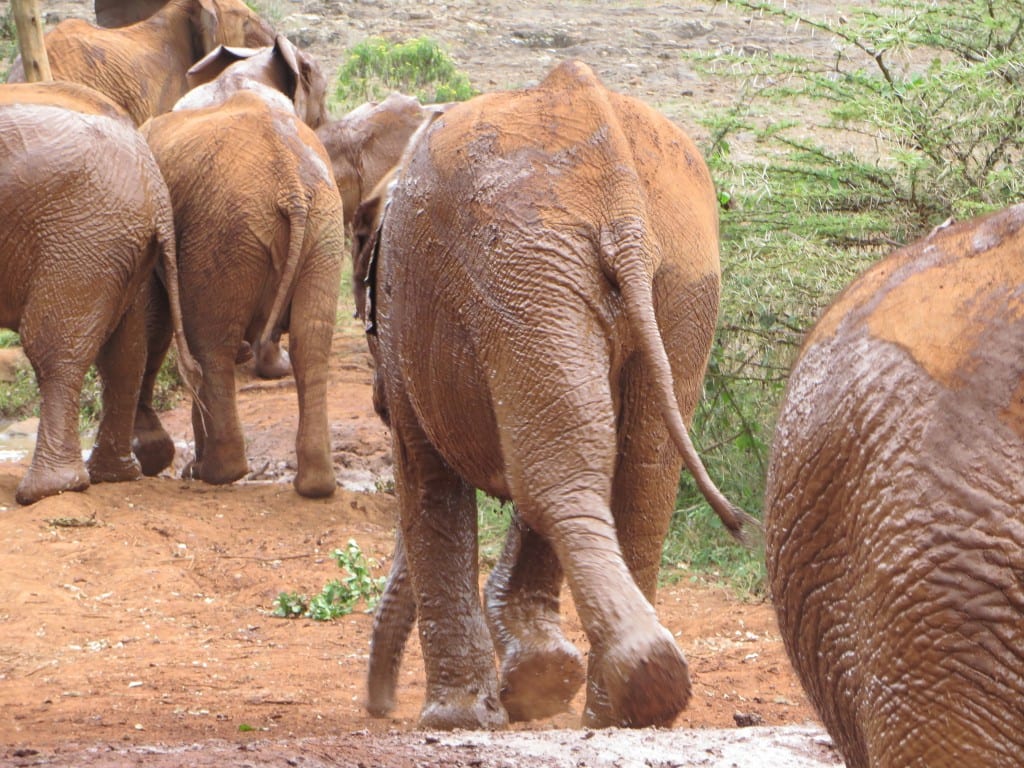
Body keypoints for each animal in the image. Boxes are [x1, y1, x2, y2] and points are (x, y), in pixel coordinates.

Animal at [0, 81, 197, 505]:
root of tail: (152, 179)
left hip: (81, 235)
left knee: (52, 348)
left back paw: (49, 489)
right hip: (117, 246)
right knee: (125, 353)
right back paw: (115, 475)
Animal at [138, 36, 344, 499]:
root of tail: (290, 185)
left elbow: (153, 316)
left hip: (224, 229)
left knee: (210, 346)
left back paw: (213, 472)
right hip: (318, 225)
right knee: (312, 339)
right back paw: (315, 485)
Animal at [351, 59, 756, 730]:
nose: (378, 709)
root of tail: (619, 193)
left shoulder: (408, 314)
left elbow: (428, 478)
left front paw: (457, 720)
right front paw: (530, 686)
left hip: (523, 269)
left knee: (557, 480)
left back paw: (636, 687)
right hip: (666, 276)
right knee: (638, 480)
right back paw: (618, 709)